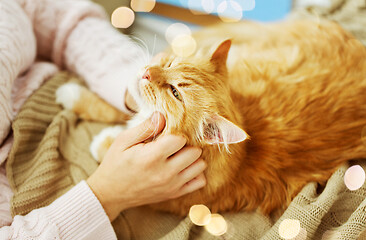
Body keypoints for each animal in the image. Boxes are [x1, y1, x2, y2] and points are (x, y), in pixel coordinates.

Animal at [55, 19, 366, 217]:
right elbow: (120, 107)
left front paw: (103, 141)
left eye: (175, 92)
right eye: (168, 64)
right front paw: (75, 95)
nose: (146, 73)